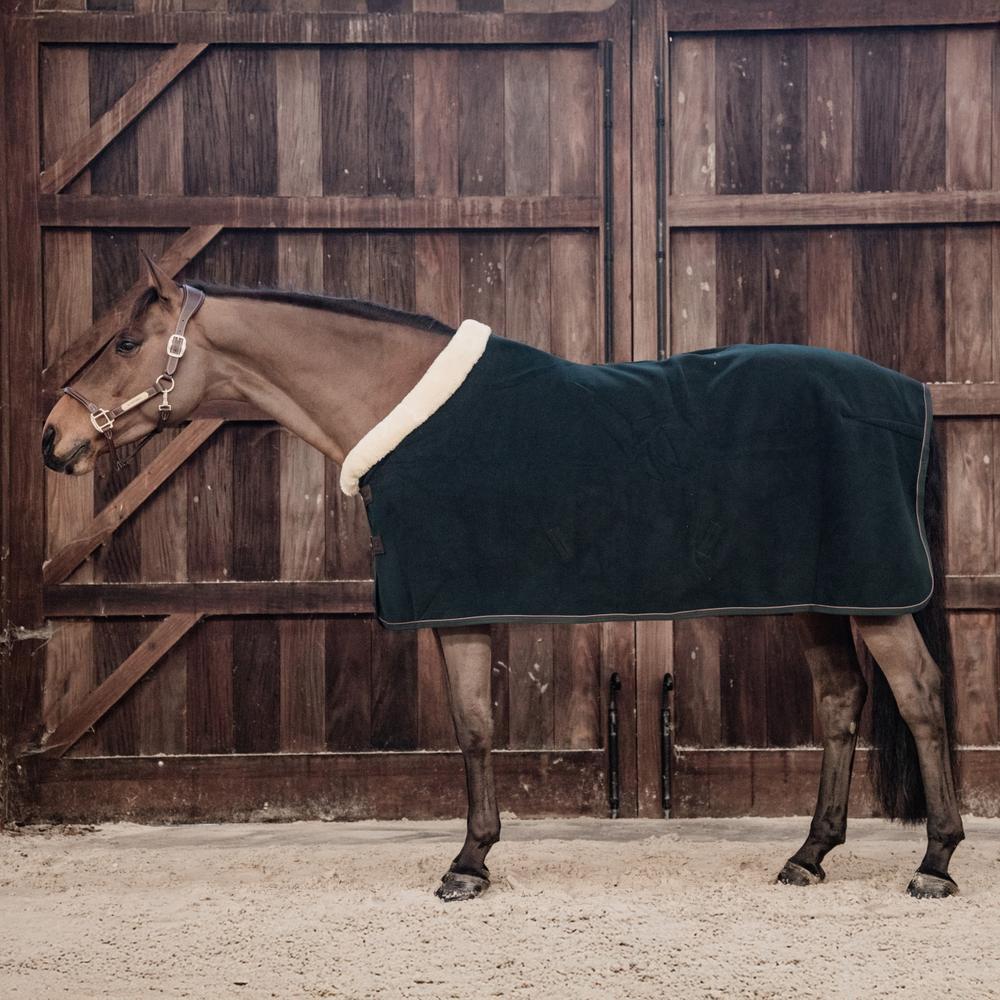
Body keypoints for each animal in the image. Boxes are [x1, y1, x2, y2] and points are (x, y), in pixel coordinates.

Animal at [42, 253, 965, 903]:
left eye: (126, 344)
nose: (54, 438)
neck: (402, 405)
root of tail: (909, 392)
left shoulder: (456, 607)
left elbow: (474, 728)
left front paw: (468, 864)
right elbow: (477, 726)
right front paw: (477, 855)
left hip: (872, 599)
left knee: (920, 696)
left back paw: (936, 861)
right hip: (822, 595)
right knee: (842, 699)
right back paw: (809, 855)